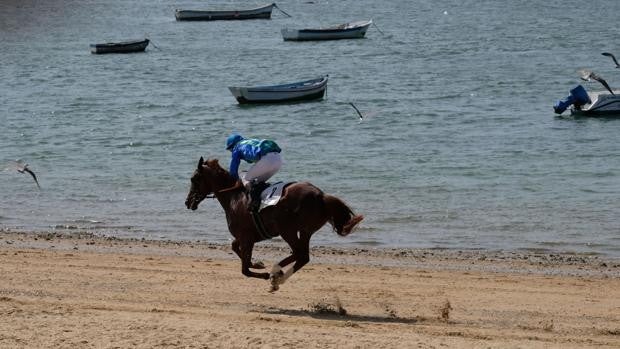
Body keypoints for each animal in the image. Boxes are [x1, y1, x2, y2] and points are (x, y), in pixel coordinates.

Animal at [184, 156, 364, 290]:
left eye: (194, 178)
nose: (188, 202)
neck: (234, 197)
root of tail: (321, 196)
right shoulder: (247, 236)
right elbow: (235, 248)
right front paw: (257, 263)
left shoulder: (246, 237)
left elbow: (244, 269)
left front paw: (262, 271)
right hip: (305, 231)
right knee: (303, 256)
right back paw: (277, 277)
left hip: (288, 230)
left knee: (299, 254)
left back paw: (275, 273)